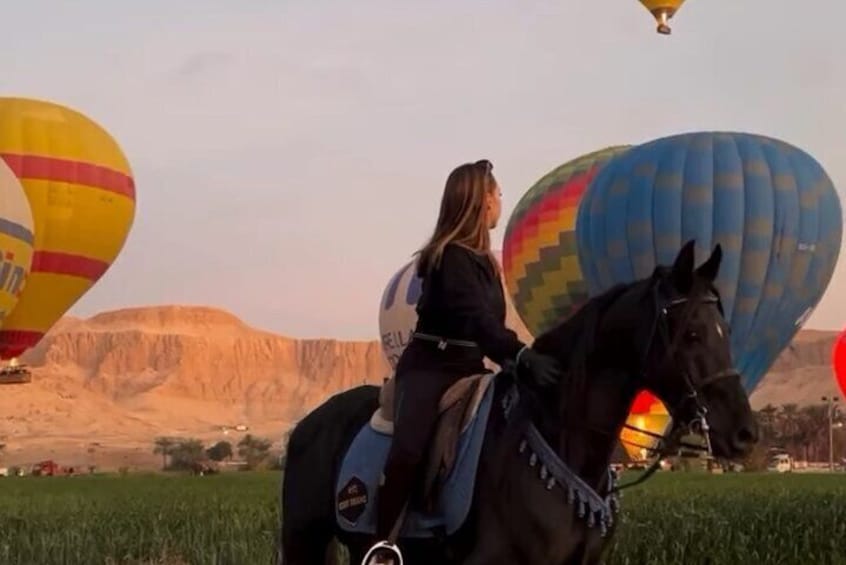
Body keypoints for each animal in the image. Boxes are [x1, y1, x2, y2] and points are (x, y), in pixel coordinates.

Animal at [278, 239, 760, 564]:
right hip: (305, 540)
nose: (744, 433)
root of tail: (308, 425)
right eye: (692, 333)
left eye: (725, 331)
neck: (559, 432)